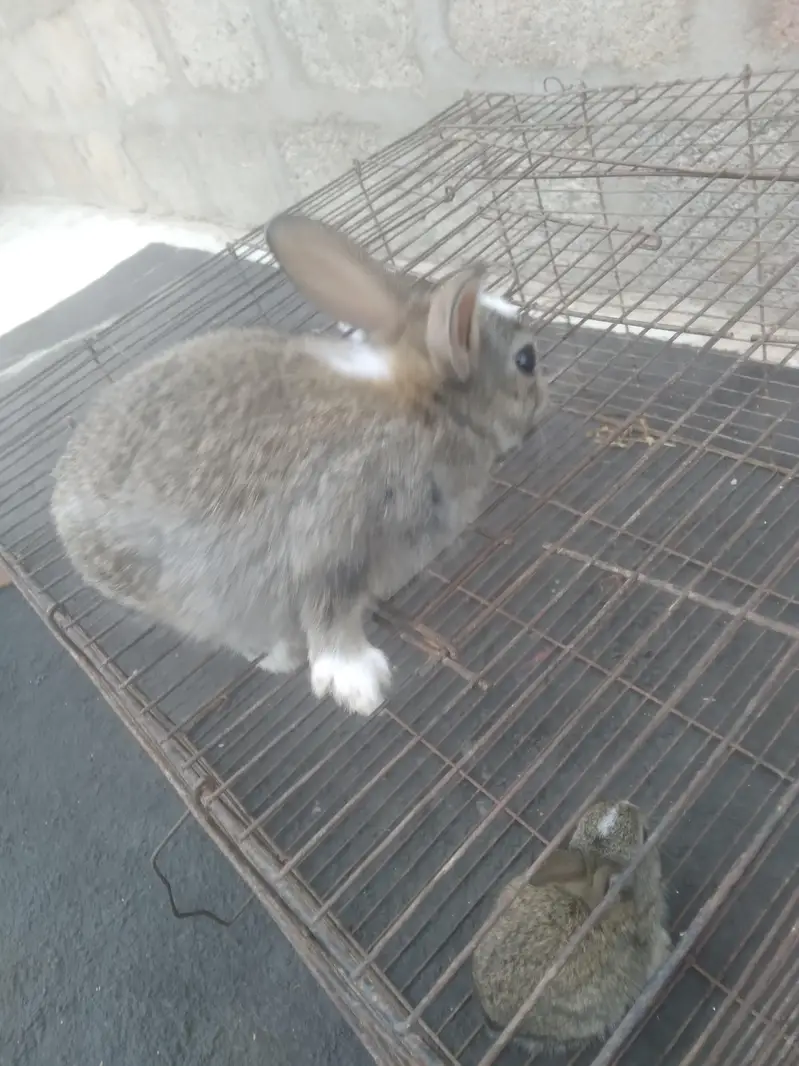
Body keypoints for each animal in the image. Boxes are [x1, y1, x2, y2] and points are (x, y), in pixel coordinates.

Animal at [50, 211, 548, 717]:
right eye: (526, 360)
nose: (543, 407)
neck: (428, 406)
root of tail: (61, 511)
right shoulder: (337, 528)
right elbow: (328, 614)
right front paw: (360, 684)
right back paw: (279, 655)